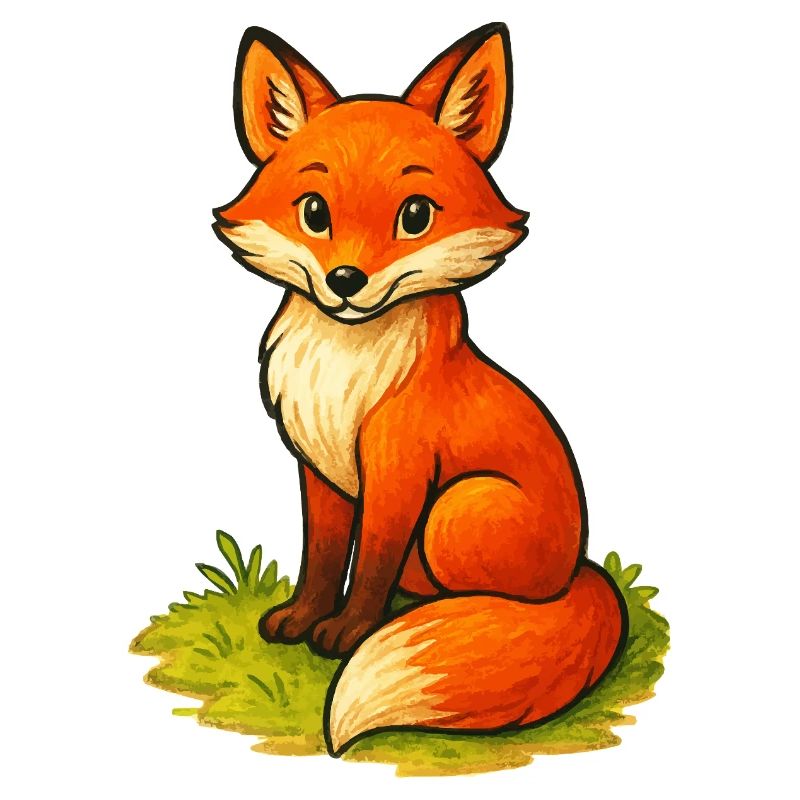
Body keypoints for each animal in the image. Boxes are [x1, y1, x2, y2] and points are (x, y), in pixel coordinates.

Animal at [213, 23, 627, 758]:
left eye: (414, 216)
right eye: (314, 212)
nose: (346, 281)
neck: (344, 370)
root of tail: (580, 569)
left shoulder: (398, 467)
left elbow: (371, 562)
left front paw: (347, 634)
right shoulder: (318, 467)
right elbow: (324, 556)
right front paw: (303, 618)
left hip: (457, 511)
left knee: (487, 597)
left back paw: (450, 614)